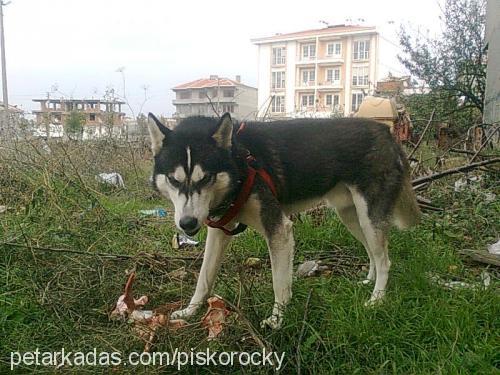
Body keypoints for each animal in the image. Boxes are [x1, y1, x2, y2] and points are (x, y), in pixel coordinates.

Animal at [146, 113, 420, 330]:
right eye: (173, 179)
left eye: (206, 178)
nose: (188, 223)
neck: (238, 162)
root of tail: (387, 132)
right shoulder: (219, 230)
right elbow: (204, 278)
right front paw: (190, 311)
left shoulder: (278, 229)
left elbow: (280, 284)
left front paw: (277, 320)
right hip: (353, 217)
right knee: (373, 252)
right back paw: (369, 281)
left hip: (369, 216)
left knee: (384, 260)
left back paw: (377, 299)